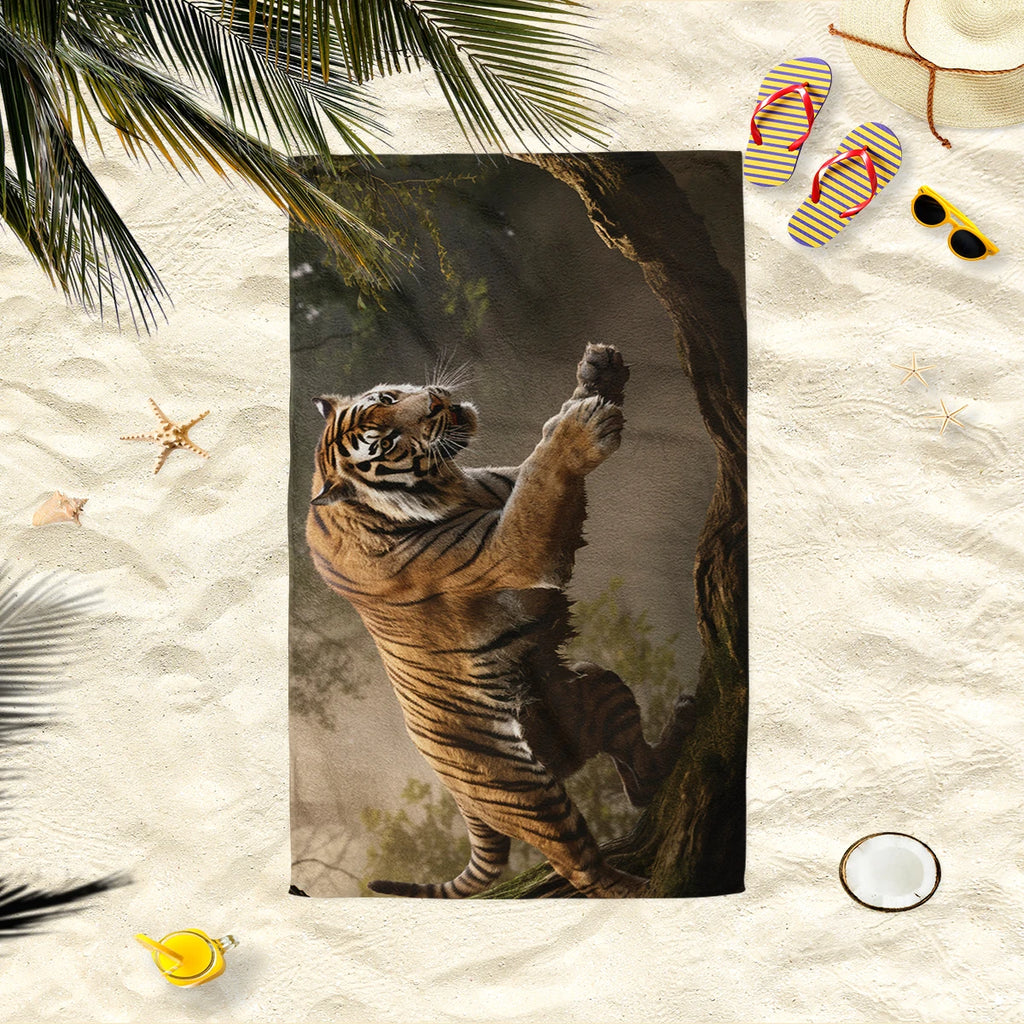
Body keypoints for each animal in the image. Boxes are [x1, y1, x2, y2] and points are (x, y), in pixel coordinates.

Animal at [306, 344, 695, 898]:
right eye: (387, 443)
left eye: (386, 399)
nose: (434, 402)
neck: (451, 484)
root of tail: (459, 801)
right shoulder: (511, 545)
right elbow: (542, 473)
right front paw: (582, 425)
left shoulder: (505, 487)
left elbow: (539, 457)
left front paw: (599, 372)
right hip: (525, 790)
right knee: (577, 865)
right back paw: (644, 888)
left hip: (597, 685)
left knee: (640, 784)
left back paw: (683, 723)